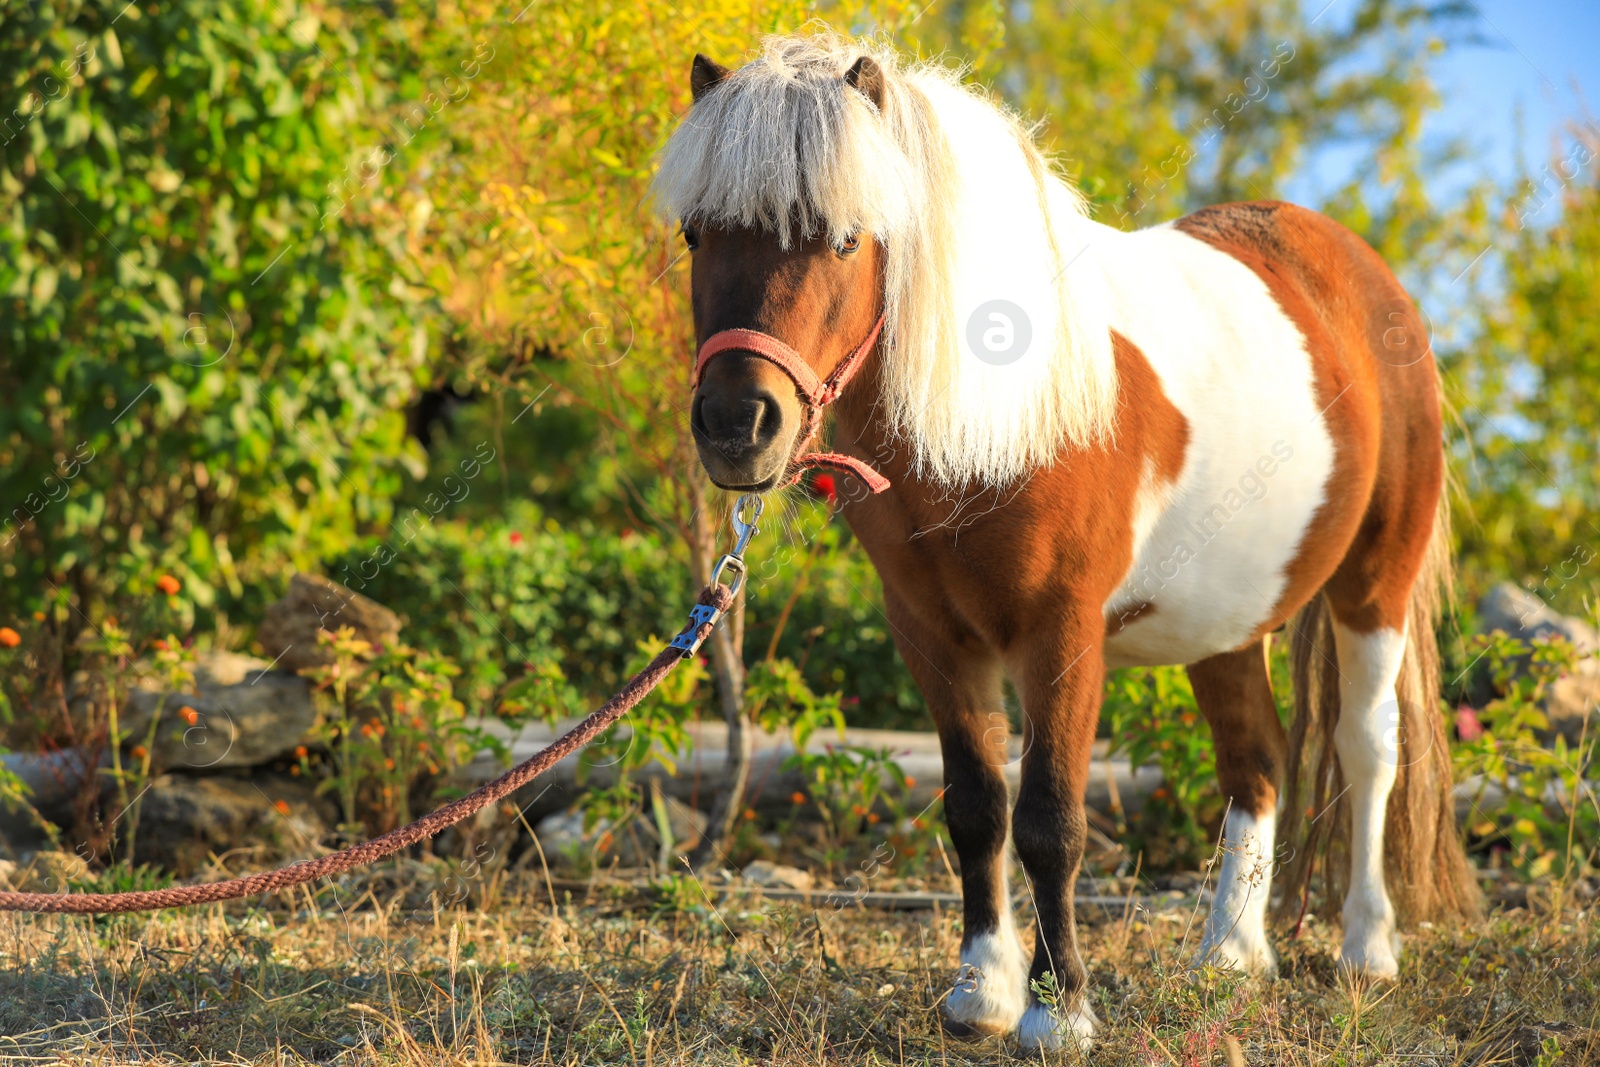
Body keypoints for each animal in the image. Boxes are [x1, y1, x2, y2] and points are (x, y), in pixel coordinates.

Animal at [649, 31, 1472, 1049]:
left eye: (843, 236)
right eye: (697, 234)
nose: (736, 426)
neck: (1004, 409)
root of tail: (1361, 272)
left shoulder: (1063, 633)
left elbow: (1050, 818)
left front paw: (1059, 1010)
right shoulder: (932, 631)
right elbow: (976, 806)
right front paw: (980, 992)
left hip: (1374, 586)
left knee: (1367, 750)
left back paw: (1366, 948)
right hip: (1227, 620)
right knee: (1256, 761)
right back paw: (1230, 956)